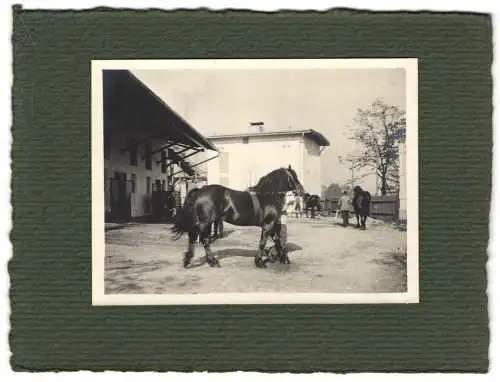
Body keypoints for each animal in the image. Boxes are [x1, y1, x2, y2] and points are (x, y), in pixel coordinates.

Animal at [172, 166, 304, 268]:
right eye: (294, 176)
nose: (301, 191)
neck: (267, 195)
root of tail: (200, 191)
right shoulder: (268, 224)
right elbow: (263, 242)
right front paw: (260, 262)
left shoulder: (270, 225)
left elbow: (278, 241)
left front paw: (283, 259)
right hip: (205, 222)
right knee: (199, 239)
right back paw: (201, 261)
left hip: (206, 223)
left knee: (200, 239)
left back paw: (202, 261)